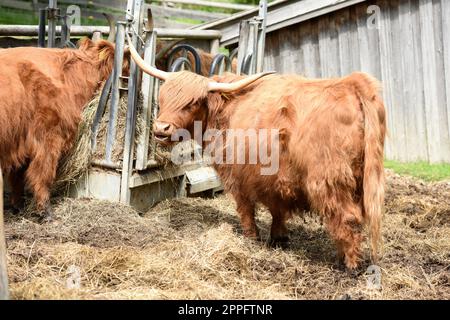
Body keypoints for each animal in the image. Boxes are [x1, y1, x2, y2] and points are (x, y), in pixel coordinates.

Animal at [0, 37, 126, 218]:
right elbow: (43, 174)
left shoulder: (21, 140)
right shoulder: (49, 137)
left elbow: (18, 177)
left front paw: (18, 206)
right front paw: (45, 212)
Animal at [128, 39, 384, 270]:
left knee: (347, 216)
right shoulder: (275, 179)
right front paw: (278, 238)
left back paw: (350, 266)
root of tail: (351, 83)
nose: (161, 129)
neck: (226, 111)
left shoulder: (238, 174)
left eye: (192, 103)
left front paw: (251, 237)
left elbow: (245, 208)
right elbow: (277, 210)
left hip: (328, 179)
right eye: (162, 98)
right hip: (361, 179)